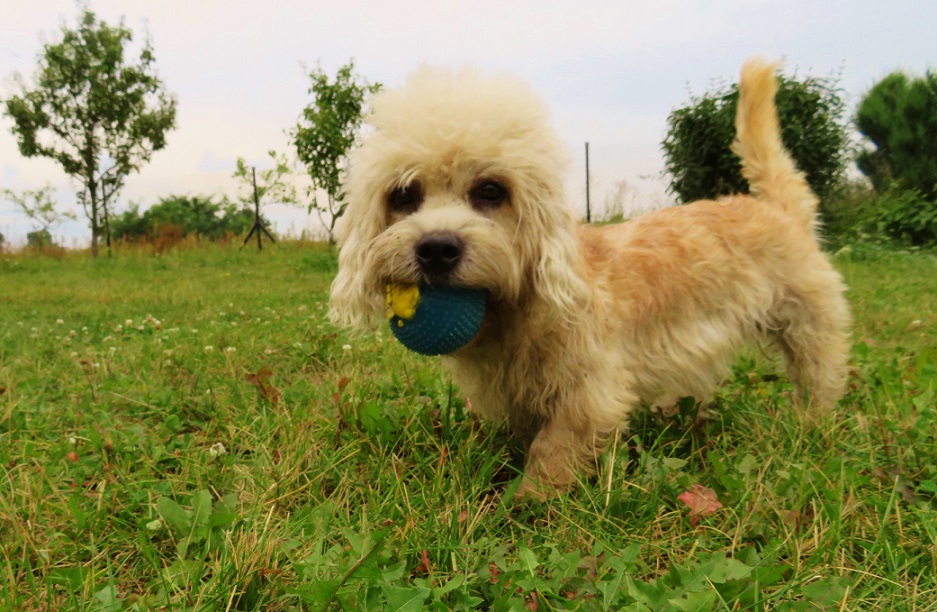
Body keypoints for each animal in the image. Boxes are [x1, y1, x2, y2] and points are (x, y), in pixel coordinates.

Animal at [329, 58, 851, 500]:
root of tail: (779, 209)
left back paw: (808, 424)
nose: (437, 248)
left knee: (819, 378)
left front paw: (528, 500)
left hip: (808, 324)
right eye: (403, 194)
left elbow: (555, 448)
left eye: (491, 190)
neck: (518, 311)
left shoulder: (590, 391)